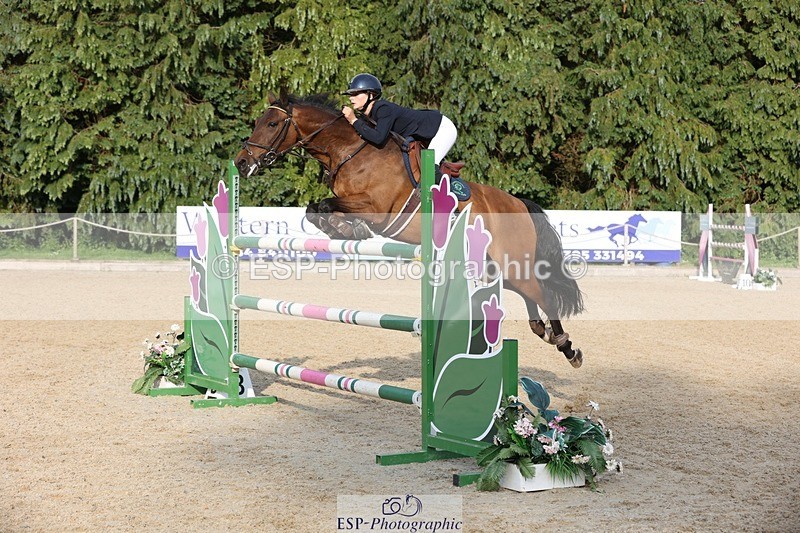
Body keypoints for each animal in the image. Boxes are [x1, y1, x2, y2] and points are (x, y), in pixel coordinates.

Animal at [234, 93, 585, 368]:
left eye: (271, 124)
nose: (241, 163)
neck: (350, 150)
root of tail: (519, 204)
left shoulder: (377, 208)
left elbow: (323, 205)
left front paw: (347, 229)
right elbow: (316, 208)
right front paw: (344, 230)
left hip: (512, 263)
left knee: (544, 295)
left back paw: (568, 348)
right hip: (497, 268)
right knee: (531, 296)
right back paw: (544, 331)